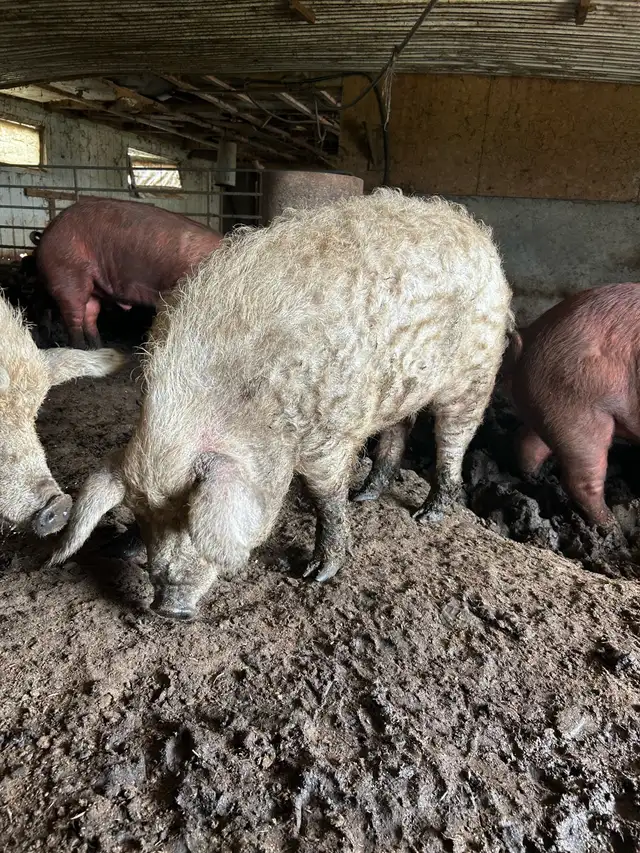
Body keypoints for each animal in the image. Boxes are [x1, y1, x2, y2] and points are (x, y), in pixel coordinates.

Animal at [32, 197, 222, 350]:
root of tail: (47, 232)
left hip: (91, 287)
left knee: (90, 317)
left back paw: (98, 348)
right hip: (67, 276)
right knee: (74, 320)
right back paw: (81, 349)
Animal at [501, 282, 640, 532]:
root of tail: (530, 337)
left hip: (551, 405)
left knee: (527, 440)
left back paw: (534, 479)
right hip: (578, 407)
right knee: (582, 479)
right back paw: (611, 528)